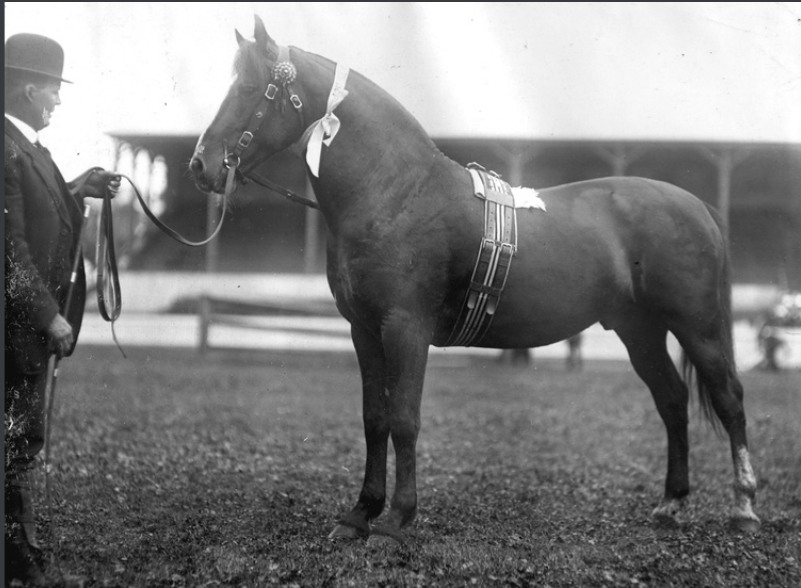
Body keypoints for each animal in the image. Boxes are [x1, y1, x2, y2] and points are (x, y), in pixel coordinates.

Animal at [188, 14, 756, 544]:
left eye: (249, 87)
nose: (200, 166)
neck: (396, 192)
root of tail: (697, 205)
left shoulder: (406, 328)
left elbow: (405, 419)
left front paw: (397, 519)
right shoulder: (364, 330)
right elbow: (374, 418)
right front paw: (359, 514)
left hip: (698, 326)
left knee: (728, 398)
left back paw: (744, 508)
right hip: (640, 330)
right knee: (672, 401)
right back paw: (670, 505)